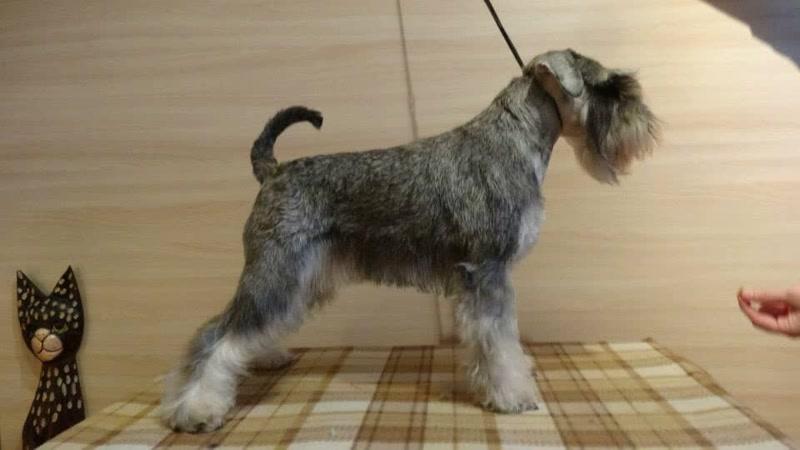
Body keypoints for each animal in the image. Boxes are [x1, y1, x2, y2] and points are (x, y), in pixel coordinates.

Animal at [161, 49, 659, 432]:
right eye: (607, 86)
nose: (646, 125)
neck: (514, 141)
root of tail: (274, 171)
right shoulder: (489, 272)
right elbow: (499, 341)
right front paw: (512, 395)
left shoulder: (485, 278)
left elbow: (497, 341)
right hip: (276, 271)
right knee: (216, 335)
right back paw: (195, 409)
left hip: (296, 279)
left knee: (250, 326)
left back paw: (264, 356)